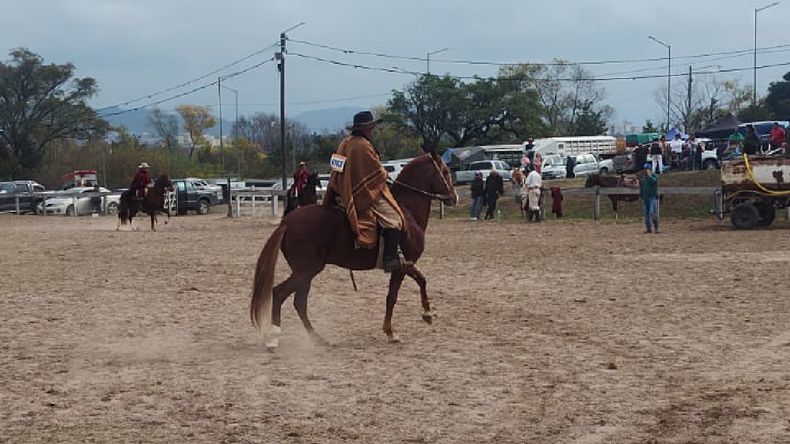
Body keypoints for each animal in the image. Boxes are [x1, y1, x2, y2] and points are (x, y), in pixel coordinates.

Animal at [250, 152, 458, 350]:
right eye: (445, 171)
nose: (453, 198)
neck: (407, 212)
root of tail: (287, 222)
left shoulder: (406, 264)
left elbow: (421, 280)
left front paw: (427, 313)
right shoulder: (401, 266)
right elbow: (393, 297)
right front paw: (392, 332)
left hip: (304, 273)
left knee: (299, 302)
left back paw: (318, 339)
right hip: (306, 271)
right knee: (279, 294)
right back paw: (273, 339)